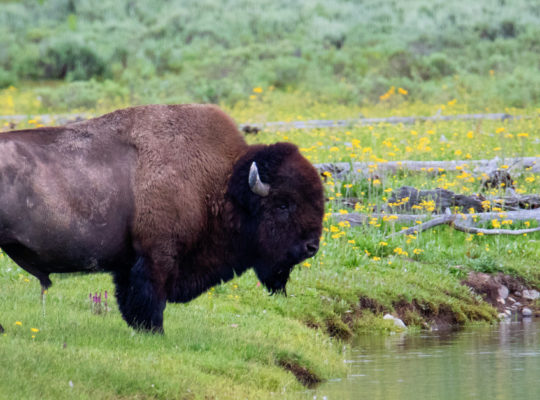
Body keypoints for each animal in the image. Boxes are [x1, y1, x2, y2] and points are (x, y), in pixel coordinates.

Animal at [0, 104, 324, 332]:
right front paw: (155, 332)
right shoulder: (158, 256)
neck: (221, 182)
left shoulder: (129, 263)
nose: (311, 247)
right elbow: (150, 298)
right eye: (283, 204)